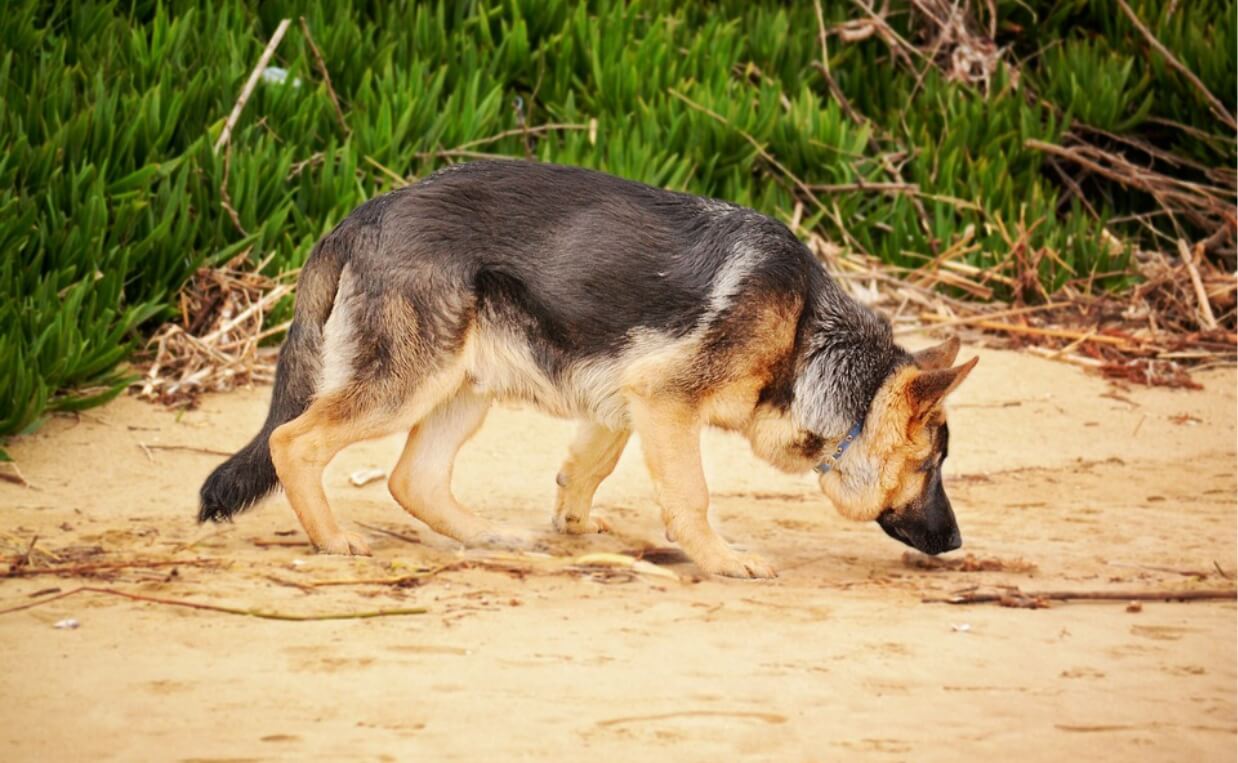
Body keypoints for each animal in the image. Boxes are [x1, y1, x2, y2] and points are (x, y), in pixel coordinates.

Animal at [200, 161, 975, 577]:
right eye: (931, 466)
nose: (958, 541)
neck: (809, 336)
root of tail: (360, 216)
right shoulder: (665, 400)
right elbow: (691, 496)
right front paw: (721, 558)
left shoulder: (628, 398)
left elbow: (588, 468)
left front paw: (572, 524)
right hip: (405, 386)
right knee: (291, 441)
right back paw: (333, 540)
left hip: (462, 388)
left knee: (411, 478)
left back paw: (488, 536)